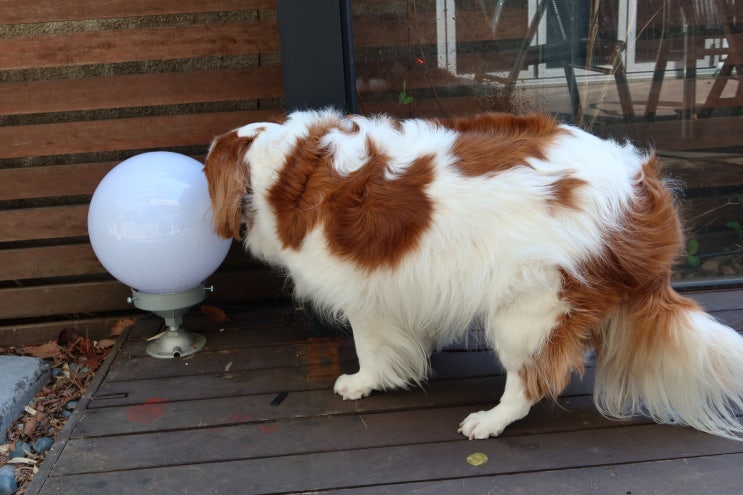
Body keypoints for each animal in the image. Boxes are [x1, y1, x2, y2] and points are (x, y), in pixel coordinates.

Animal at [203, 109, 743, 442]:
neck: (289, 168)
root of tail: (640, 188)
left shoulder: (364, 292)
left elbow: (370, 347)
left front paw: (363, 383)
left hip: (529, 307)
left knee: (529, 382)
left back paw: (489, 421)